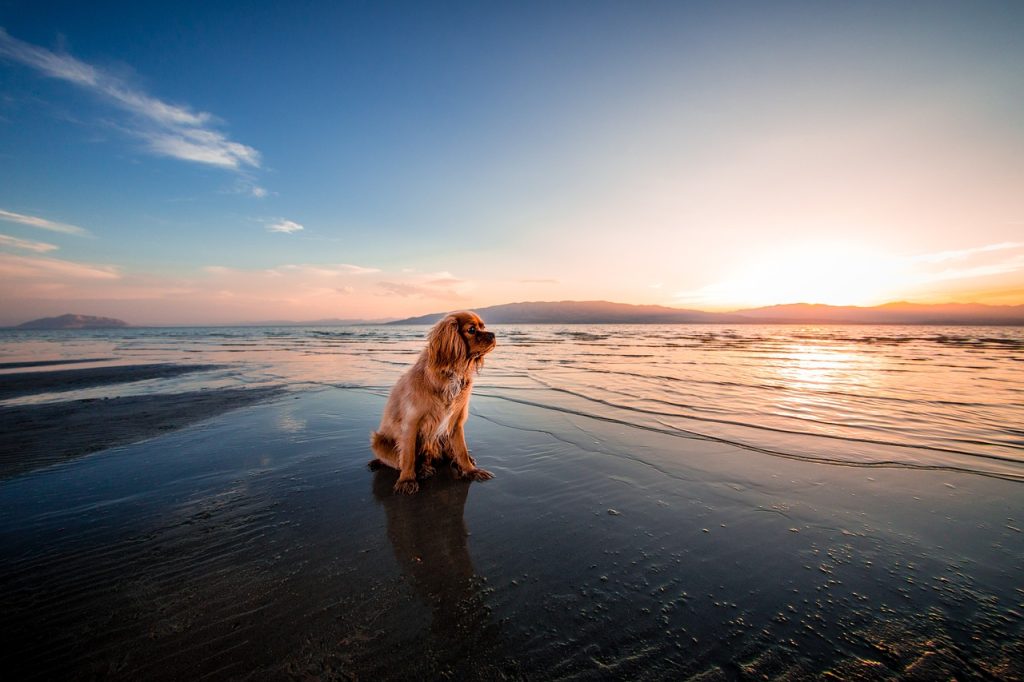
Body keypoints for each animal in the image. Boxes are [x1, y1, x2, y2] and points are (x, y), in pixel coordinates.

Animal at [368, 311, 495, 491]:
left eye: (483, 327)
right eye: (471, 329)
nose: (493, 335)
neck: (451, 373)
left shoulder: (456, 423)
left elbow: (461, 450)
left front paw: (471, 470)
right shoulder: (411, 423)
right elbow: (408, 456)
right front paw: (407, 480)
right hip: (378, 441)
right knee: (403, 461)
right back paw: (421, 470)